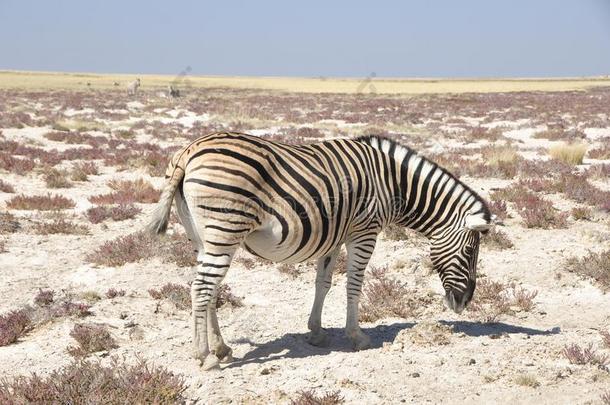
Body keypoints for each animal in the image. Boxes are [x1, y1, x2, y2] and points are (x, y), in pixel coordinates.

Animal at [147, 131, 494, 368]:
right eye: (469, 253)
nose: (464, 303)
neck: (392, 183)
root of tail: (189, 150)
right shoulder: (364, 232)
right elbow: (354, 285)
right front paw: (356, 336)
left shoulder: (335, 235)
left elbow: (323, 282)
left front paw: (316, 332)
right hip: (225, 228)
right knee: (202, 288)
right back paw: (204, 356)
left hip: (204, 237)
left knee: (210, 288)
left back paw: (220, 347)